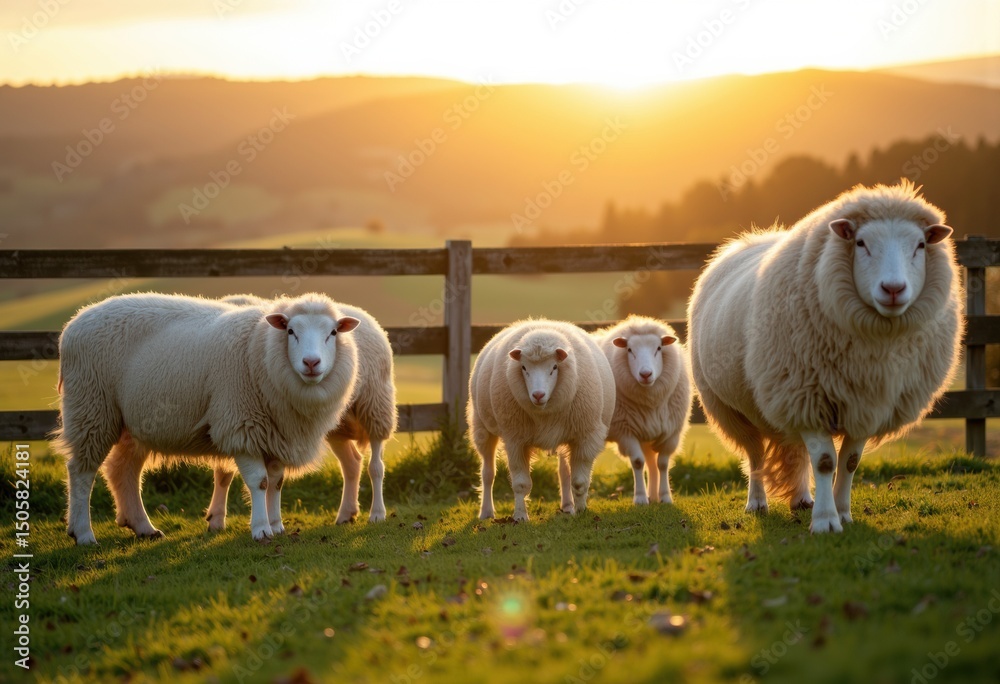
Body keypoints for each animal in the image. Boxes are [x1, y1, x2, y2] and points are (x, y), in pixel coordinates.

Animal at [53, 292, 361, 544]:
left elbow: (276, 482)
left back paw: (144, 528)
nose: (311, 363)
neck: (259, 349)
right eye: (291, 331)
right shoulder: (241, 424)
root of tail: (74, 322)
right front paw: (261, 529)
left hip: (131, 423)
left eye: (333, 332)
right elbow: (259, 482)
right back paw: (83, 533)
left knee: (124, 471)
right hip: (91, 408)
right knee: (81, 472)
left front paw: (277, 525)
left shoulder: (277, 433)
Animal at [202, 295, 397, 528]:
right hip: (337, 424)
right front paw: (215, 519)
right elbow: (223, 472)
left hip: (376, 407)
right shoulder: (232, 417)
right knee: (352, 463)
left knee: (376, 466)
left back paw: (377, 513)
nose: (311, 362)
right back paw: (346, 514)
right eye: (291, 331)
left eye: (332, 333)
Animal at [468, 319, 616, 521]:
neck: (544, 412)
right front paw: (520, 516)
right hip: (482, 427)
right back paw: (486, 512)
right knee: (488, 473)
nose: (538, 395)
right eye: (523, 368)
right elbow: (521, 484)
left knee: (564, 473)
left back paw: (567, 506)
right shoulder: (515, 440)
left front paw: (581, 512)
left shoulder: (586, 436)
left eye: (554, 367)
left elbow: (579, 482)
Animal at [594, 315, 692, 505]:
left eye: (659, 348)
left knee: (652, 462)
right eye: (629, 350)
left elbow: (662, 464)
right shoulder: (626, 431)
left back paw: (653, 496)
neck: (650, 400)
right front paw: (640, 498)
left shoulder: (671, 432)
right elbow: (638, 462)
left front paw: (665, 497)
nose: (645, 374)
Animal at [687, 181, 962, 533]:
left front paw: (843, 512)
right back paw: (757, 502)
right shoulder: (806, 397)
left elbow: (849, 462)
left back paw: (802, 498)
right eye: (861, 243)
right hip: (734, 409)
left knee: (793, 451)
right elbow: (825, 461)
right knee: (756, 455)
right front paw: (826, 521)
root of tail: (748, 240)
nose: (893, 289)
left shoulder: (864, 405)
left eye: (920, 245)